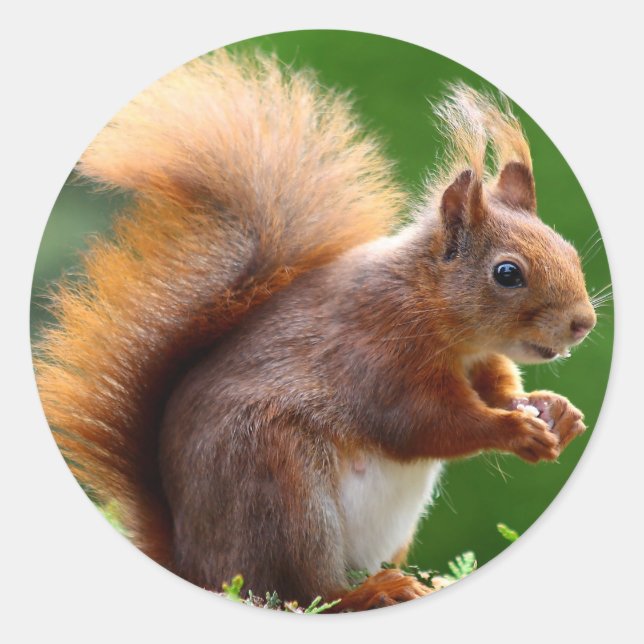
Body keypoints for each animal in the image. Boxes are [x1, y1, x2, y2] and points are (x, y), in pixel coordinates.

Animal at [34, 51, 597, 611]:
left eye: (568, 250)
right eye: (507, 273)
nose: (583, 322)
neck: (437, 314)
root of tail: (192, 560)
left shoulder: (479, 359)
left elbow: (497, 387)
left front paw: (554, 411)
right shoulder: (379, 352)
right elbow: (425, 424)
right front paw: (514, 430)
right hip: (281, 489)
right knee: (305, 589)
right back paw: (372, 592)